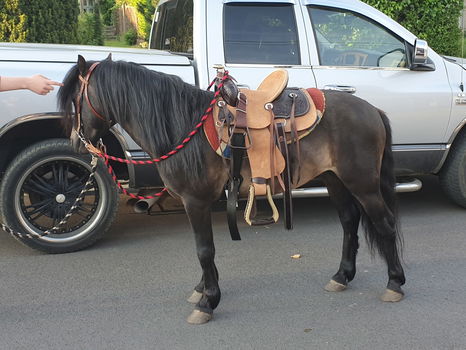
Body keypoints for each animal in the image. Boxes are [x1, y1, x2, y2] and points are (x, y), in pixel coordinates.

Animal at [58, 55, 404, 326]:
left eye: (76, 99)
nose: (76, 143)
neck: (183, 127)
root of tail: (373, 110)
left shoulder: (195, 201)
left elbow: (204, 249)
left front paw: (207, 301)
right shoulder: (196, 203)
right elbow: (203, 250)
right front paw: (201, 289)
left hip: (362, 183)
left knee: (385, 224)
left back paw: (395, 283)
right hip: (335, 180)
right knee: (349, 222)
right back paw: (341, 276)